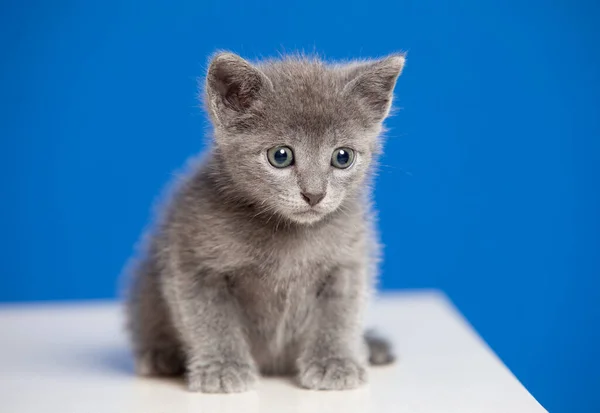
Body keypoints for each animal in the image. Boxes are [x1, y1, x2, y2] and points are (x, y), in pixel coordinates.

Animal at [127, 50, 408, 392]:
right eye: (280, 156)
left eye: (343, 157)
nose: (314, 194)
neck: (289, 232)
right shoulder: (192, 259)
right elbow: (209, 318)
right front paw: (223, 367)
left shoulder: (349, 259)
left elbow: (341, 313)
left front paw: (334, 362)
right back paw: (161, 355)